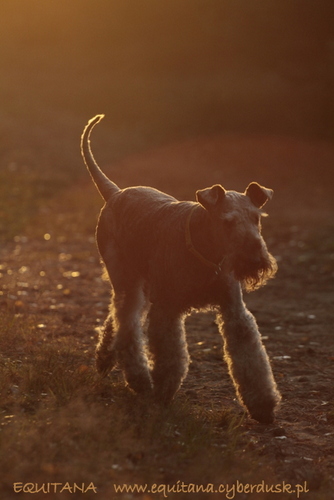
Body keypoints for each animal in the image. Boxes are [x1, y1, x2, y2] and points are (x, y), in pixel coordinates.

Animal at [80, 115, 280, 424]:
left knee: (115, 319)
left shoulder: (234, 311)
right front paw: (162, 393)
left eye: (257, 218)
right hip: (127, 281)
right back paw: (139, 380)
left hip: (140, 286)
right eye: (227, 222)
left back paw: (105, 360)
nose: (255, 258)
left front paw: (263, 405)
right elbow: (171, 358)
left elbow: (250, 357)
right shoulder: (168, 310)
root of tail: (115, 193)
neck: (206, 253)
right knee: (127, 326)